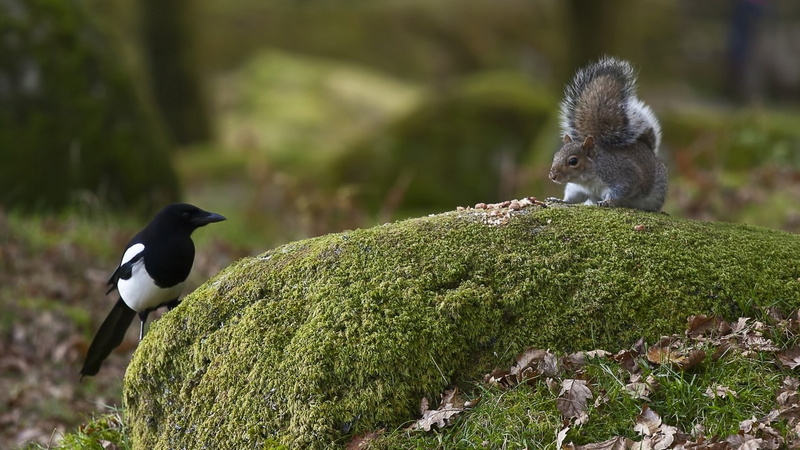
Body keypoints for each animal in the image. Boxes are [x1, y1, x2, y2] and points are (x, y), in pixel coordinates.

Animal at [548, 57, 668, 212]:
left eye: (573, 161)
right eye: (555, 155)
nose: (552, 176)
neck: (587, 180)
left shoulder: (624, 177)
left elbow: (619, 193)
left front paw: (606, 202)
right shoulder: (577, 189)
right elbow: (572, 198)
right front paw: (559, 200)